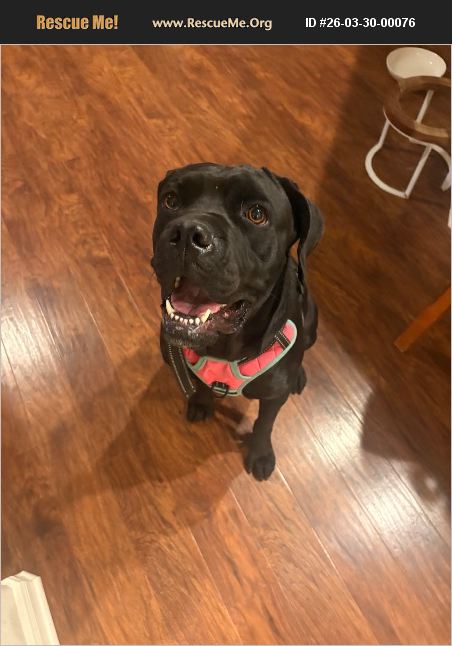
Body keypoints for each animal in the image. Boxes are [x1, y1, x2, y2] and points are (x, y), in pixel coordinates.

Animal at [151, 163, 324, 480]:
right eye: (171, 200)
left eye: (256, 214)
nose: (187, 232)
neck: (225, 347)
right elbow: (201, 385)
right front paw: (200, 403)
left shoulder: (273, 398)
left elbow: (265, 423)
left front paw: (261, 454)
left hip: (312, 324)